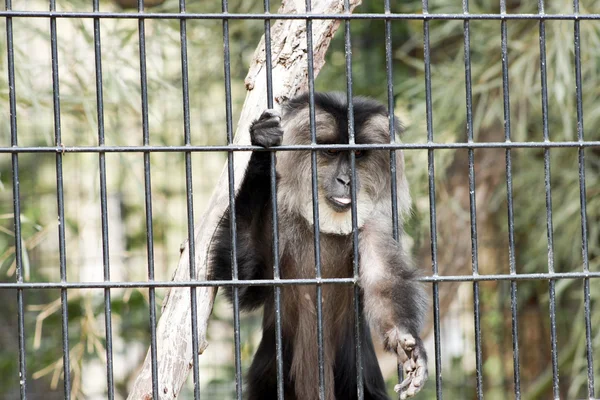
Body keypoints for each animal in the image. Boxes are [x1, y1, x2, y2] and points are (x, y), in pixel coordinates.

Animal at [209, 92, 428, 398]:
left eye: (356, 155)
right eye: (332, 152)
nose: (346, 180)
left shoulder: (372, 226)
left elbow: (384, 281)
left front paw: (408, 345)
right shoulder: (278, 219)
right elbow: (245, 285)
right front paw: (263, 148)